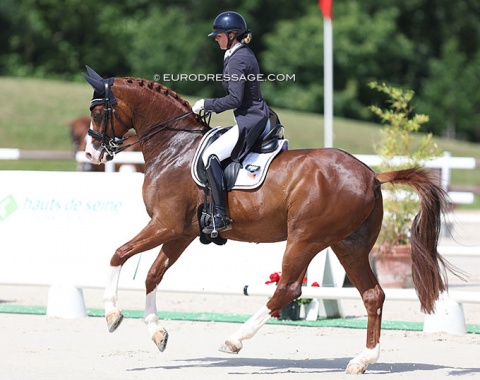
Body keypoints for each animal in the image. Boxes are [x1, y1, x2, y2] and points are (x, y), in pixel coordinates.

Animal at [81, 67, 454, 374]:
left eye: (98, 112)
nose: (91, 154)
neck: (174, 148)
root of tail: (372, 176)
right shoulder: (180, 232)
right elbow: (152, 275)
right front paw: (157, 333)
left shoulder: (165, 224)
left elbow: (118, 254)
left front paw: (112, 315)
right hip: (348, 245)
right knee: (372, 294)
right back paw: (362, 360)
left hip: (304, 238)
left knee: (288, 287)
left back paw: (235, 339)